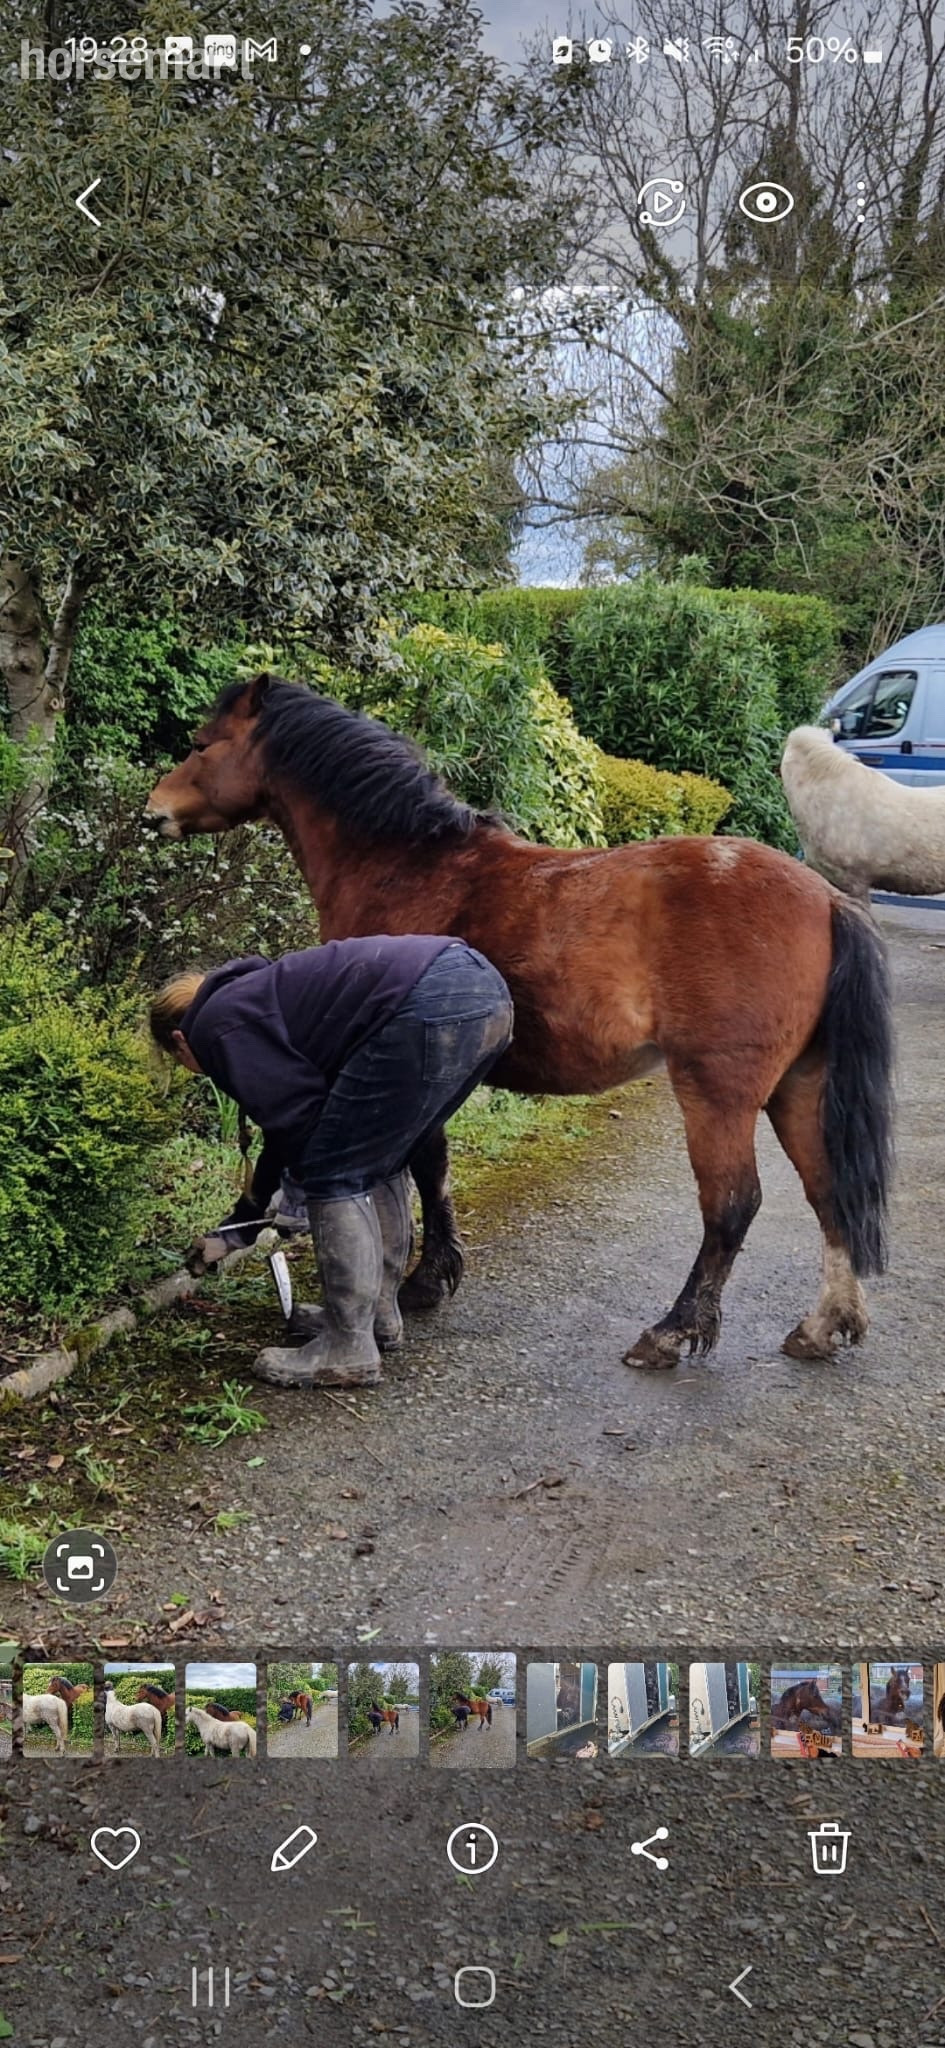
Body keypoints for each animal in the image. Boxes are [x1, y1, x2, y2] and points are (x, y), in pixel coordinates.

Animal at [146, 677, 894, 1370]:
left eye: (202, 744)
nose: (155, 813)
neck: (407, 863)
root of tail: (825, 900)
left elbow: (426, 1167)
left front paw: (426, 1281)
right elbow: (427, 1170)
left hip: (717, 1095)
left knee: (732, 1206)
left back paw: (671, 1331)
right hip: (798, 1086)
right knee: (827, 1193)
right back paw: (823, 1325)